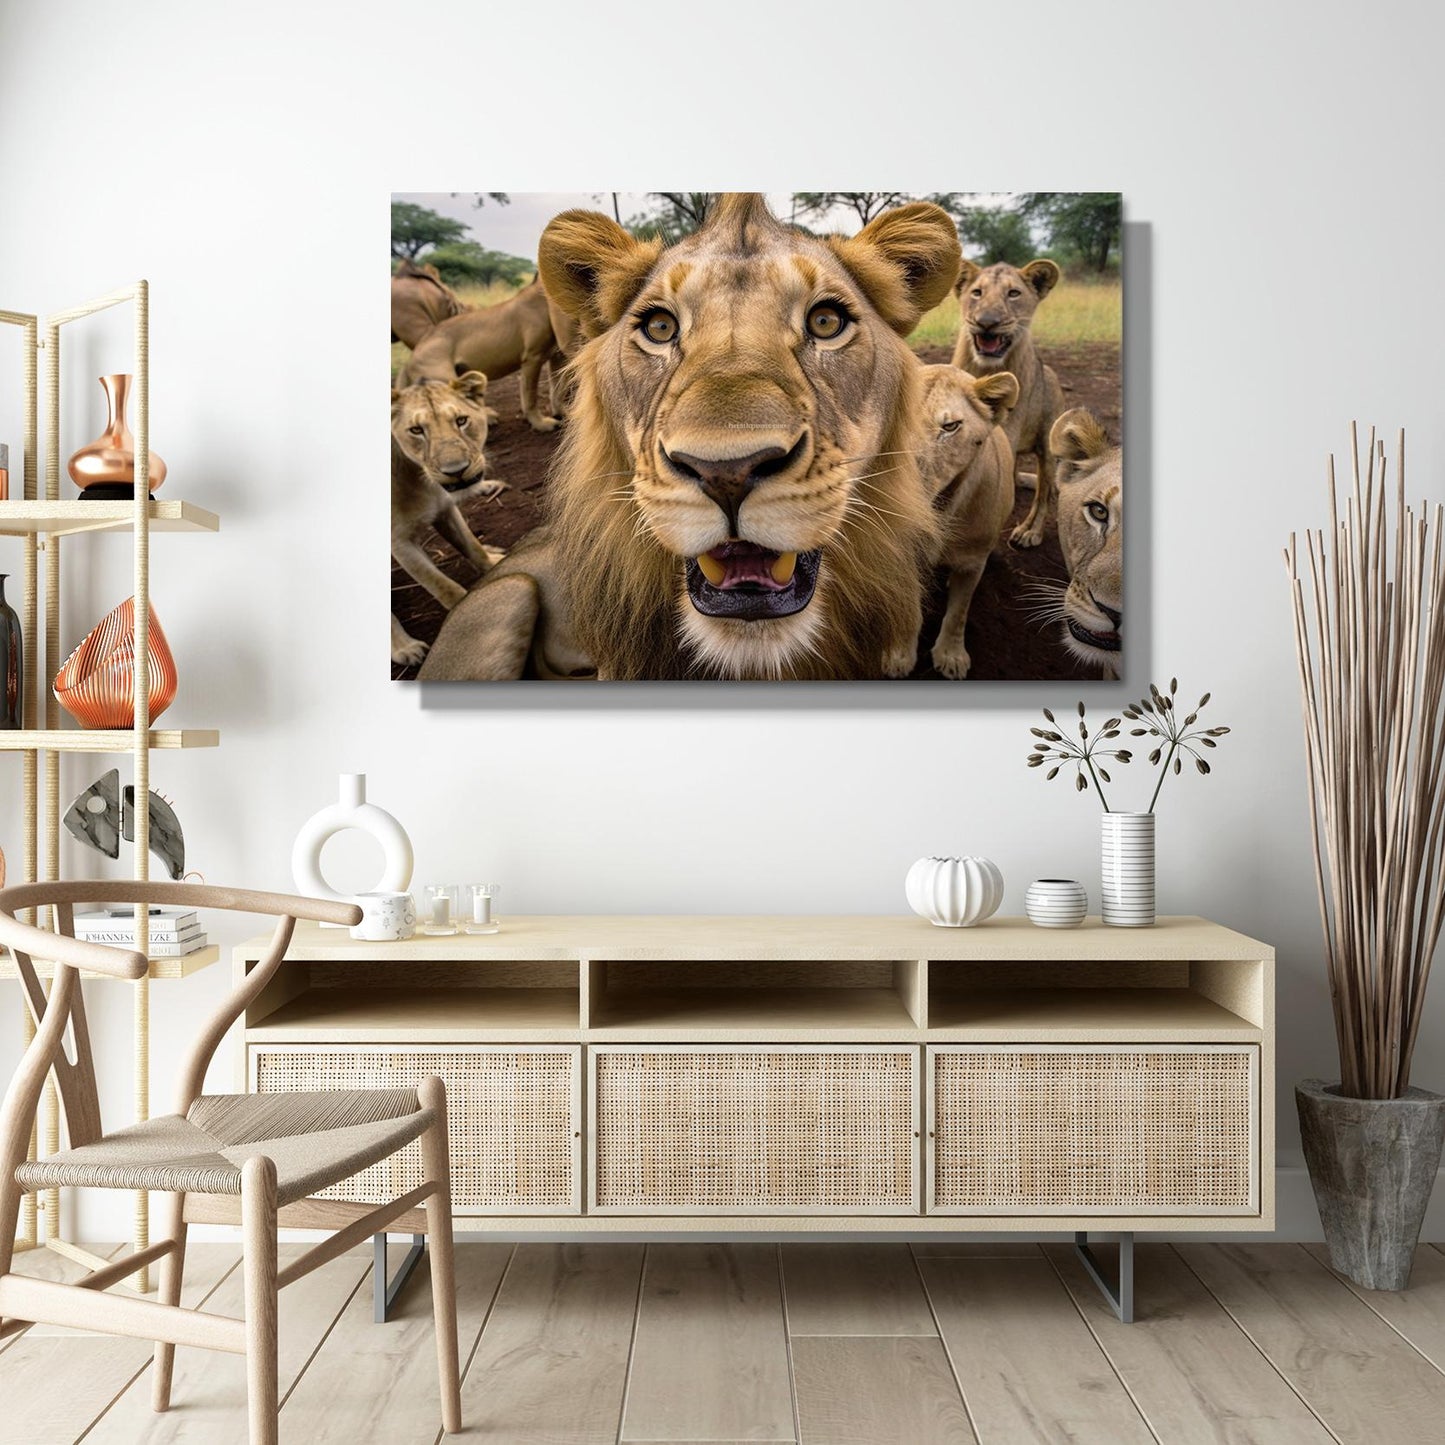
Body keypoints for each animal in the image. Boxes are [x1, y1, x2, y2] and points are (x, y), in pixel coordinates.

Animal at [391, 372, 506, 666]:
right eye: (416, 430)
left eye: (461, 420)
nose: (456, 471)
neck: (419, 478)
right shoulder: (399, 542)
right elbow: (442, 586)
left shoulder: (445, 508)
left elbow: (471, 546)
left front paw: (494, 563)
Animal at [400, 277, 578, 432]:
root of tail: (411, 357)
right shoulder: (532, 358)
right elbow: (530, 395)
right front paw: (541, 424)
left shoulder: (556, 356)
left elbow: (558, 389)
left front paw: (563, 414)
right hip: (443, 379)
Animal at [952, 259, 1065, 550]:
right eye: (977, 292)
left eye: (1013, 293)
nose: (987, 323)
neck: (985, 369)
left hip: (1048, 452)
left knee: (1044, 495)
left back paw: (1030, 532)